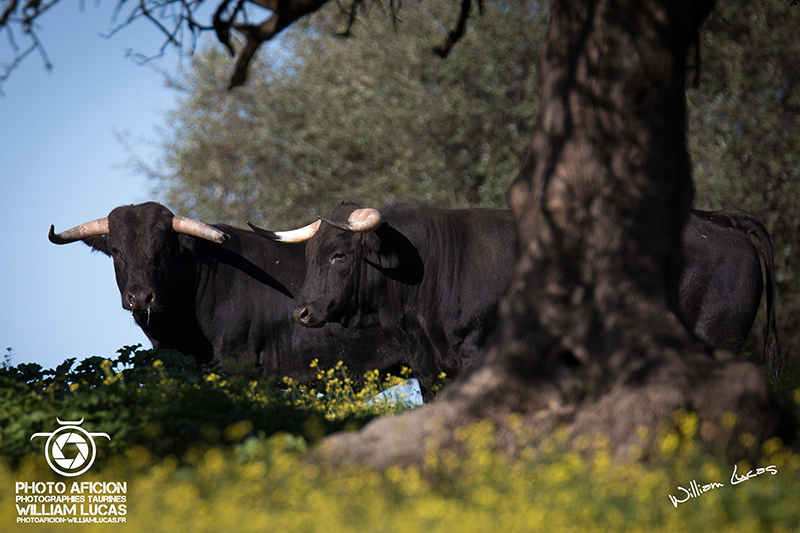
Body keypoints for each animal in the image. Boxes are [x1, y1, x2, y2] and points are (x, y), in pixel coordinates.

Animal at [253, 202, 780, 392]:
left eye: (340, 254)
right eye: (312, 255)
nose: (303, 311)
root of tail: (718, 219)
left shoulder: (475, 357)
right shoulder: (430, 367)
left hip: (717, 337)